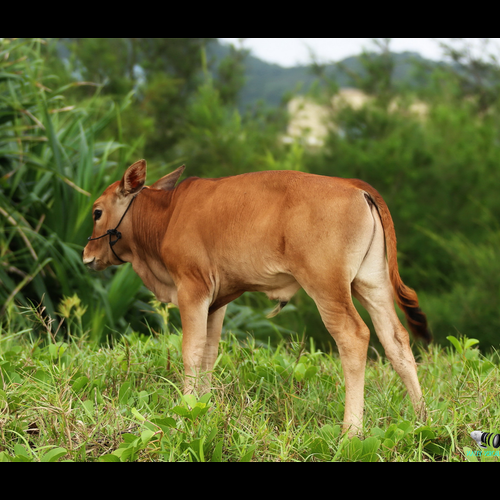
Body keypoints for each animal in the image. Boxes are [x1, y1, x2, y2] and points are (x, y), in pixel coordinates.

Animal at [83, 159, 430, 434]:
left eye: (97, 212)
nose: (87, 255)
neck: (168, 216)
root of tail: (353, 185)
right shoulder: (216, 300)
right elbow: (208, 352)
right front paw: (203, 407)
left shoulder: (192, 288)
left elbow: (191, 350)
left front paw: (186, 410)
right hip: (372, 284)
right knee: (396, 340)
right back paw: (422, 420)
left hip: (327, 287)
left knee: (354, 337)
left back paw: (351, 433)